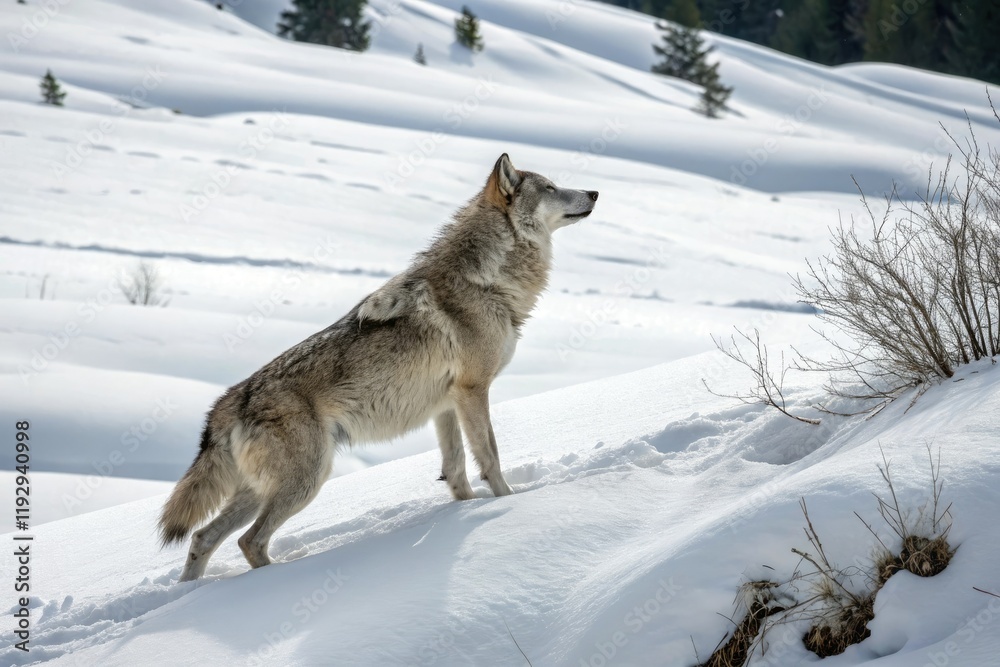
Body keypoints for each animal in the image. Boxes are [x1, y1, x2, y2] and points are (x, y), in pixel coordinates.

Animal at [159, 153, 599, 580]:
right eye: (551, 187)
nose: (595, 192)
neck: (487, 280)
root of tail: (231, 400)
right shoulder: (474, 390)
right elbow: (490, 457)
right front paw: (510, 504)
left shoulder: (446, 405)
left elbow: (456, 471)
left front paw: (465, 512)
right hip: (306, 481)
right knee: (249, 541)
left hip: (262, 490)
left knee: (202, 537)